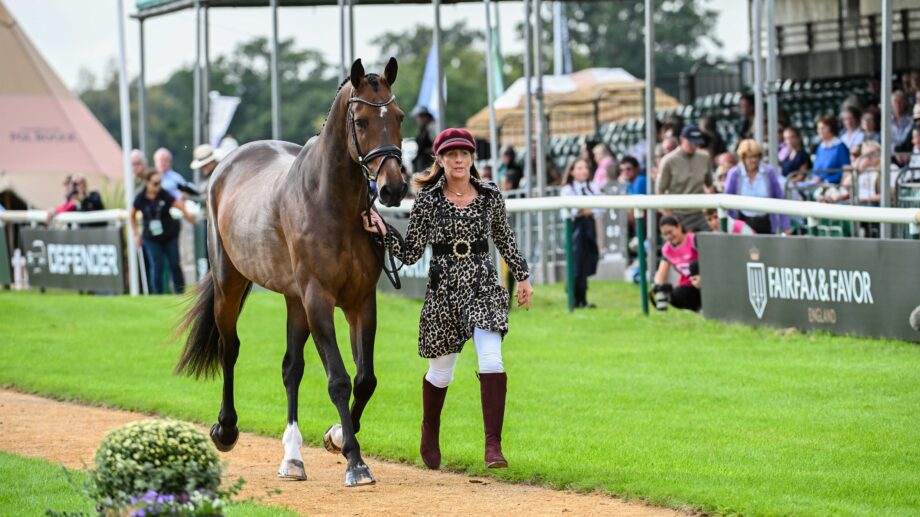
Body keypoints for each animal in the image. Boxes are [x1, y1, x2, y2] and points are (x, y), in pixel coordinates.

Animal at [175, 58, 408, 487]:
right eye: (362, 120)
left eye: (399, 116)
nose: (394, 188)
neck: (331, 202)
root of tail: (226, 164)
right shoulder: (319, 299)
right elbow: (338, 379)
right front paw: (355, 461)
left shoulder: (360, 301)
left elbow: (365, 378)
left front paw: (338, 434)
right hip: (231, 284)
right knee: (230, 348)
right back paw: (226, 429)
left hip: (293, 299)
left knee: (291, 368)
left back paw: (293, 457)